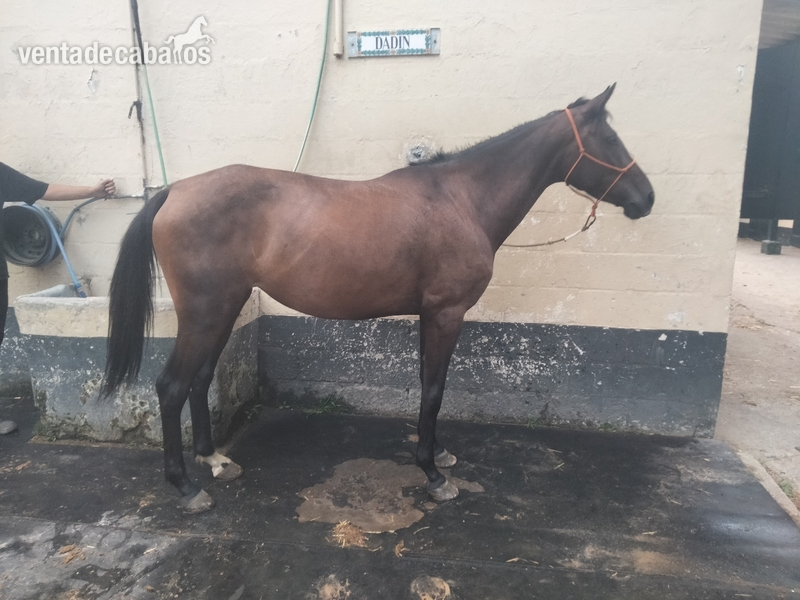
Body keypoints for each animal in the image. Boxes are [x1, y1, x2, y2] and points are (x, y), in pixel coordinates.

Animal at [103, 85, 654, 513]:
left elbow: (428, 386)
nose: (646, 198)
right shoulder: (446, 314)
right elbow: (434, 390)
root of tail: (174, 191)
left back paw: (214, 460)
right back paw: (185, 488)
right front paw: (434, 475)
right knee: (171, 386)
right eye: (609, 138)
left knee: (199, 379)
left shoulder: (429, 315)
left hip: (225, 307)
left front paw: (438, 455)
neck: (461, 200)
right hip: (205, 312)